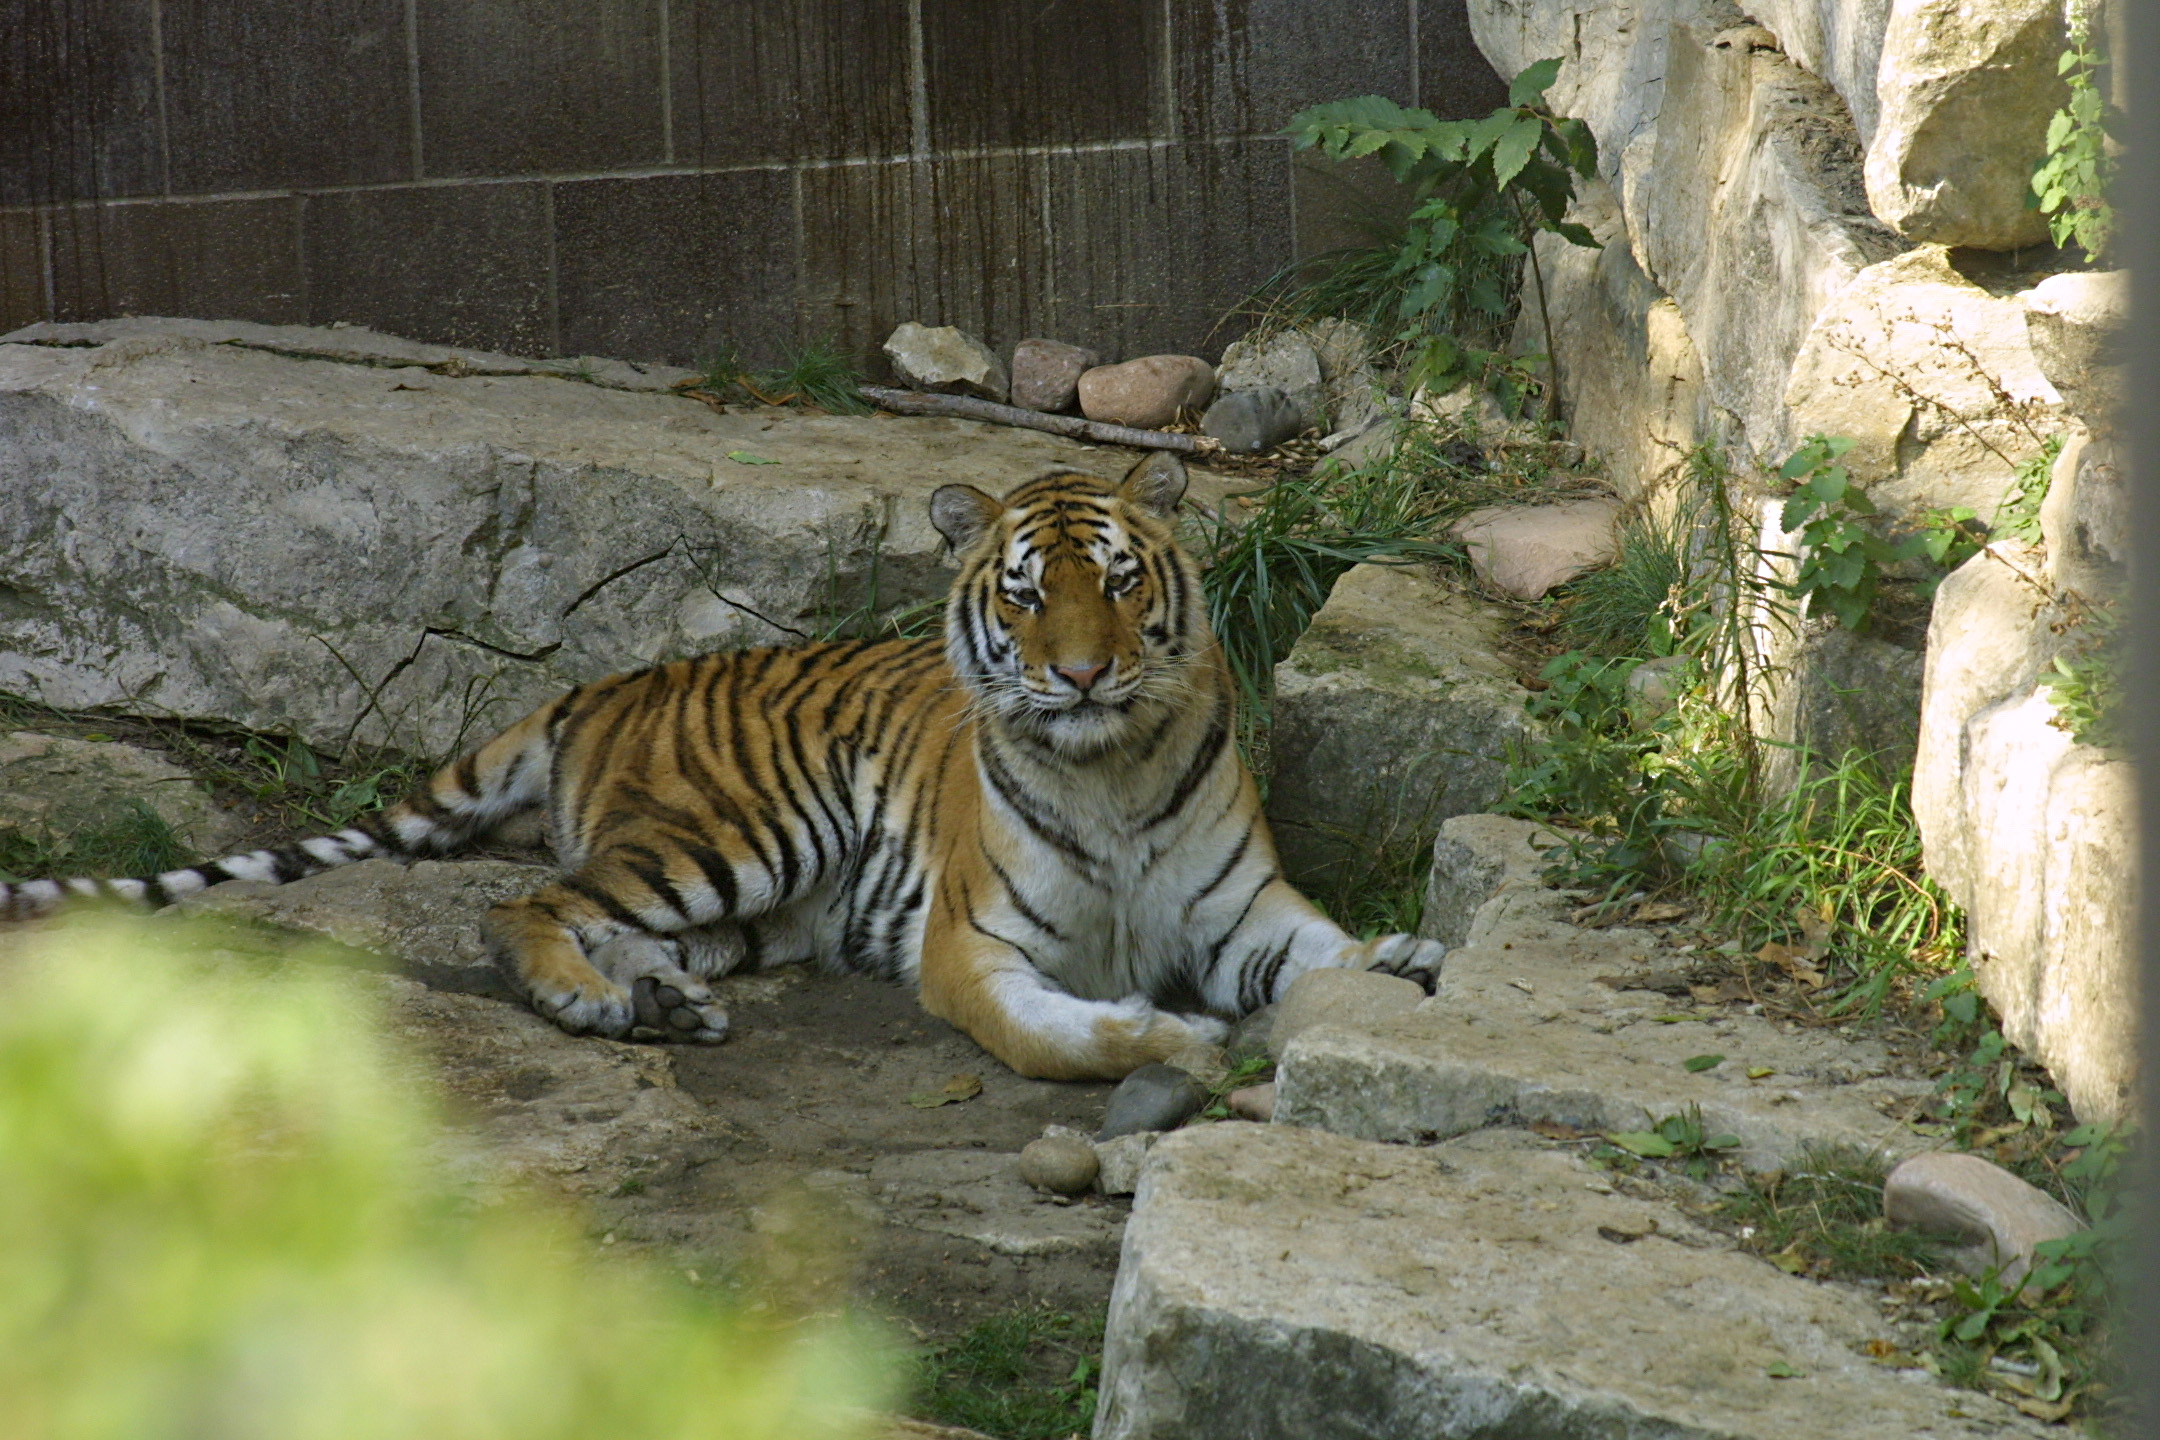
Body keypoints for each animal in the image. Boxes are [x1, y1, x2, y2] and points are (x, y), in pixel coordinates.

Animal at [0, 451, 1444, 1079]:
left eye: (1123, 581)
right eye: (1028, 595)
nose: (1084, 674)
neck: (1113, 767)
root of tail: (607, 677)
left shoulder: (1246, 915)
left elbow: (1331, 957)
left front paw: (1408, 961)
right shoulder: (972, 950)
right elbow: (1061, 1038)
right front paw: (1176, 1039)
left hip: (757, 906)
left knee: (608, 925)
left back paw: (660, 1007)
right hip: (744, 832)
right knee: (519, 906)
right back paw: (591, 1005)